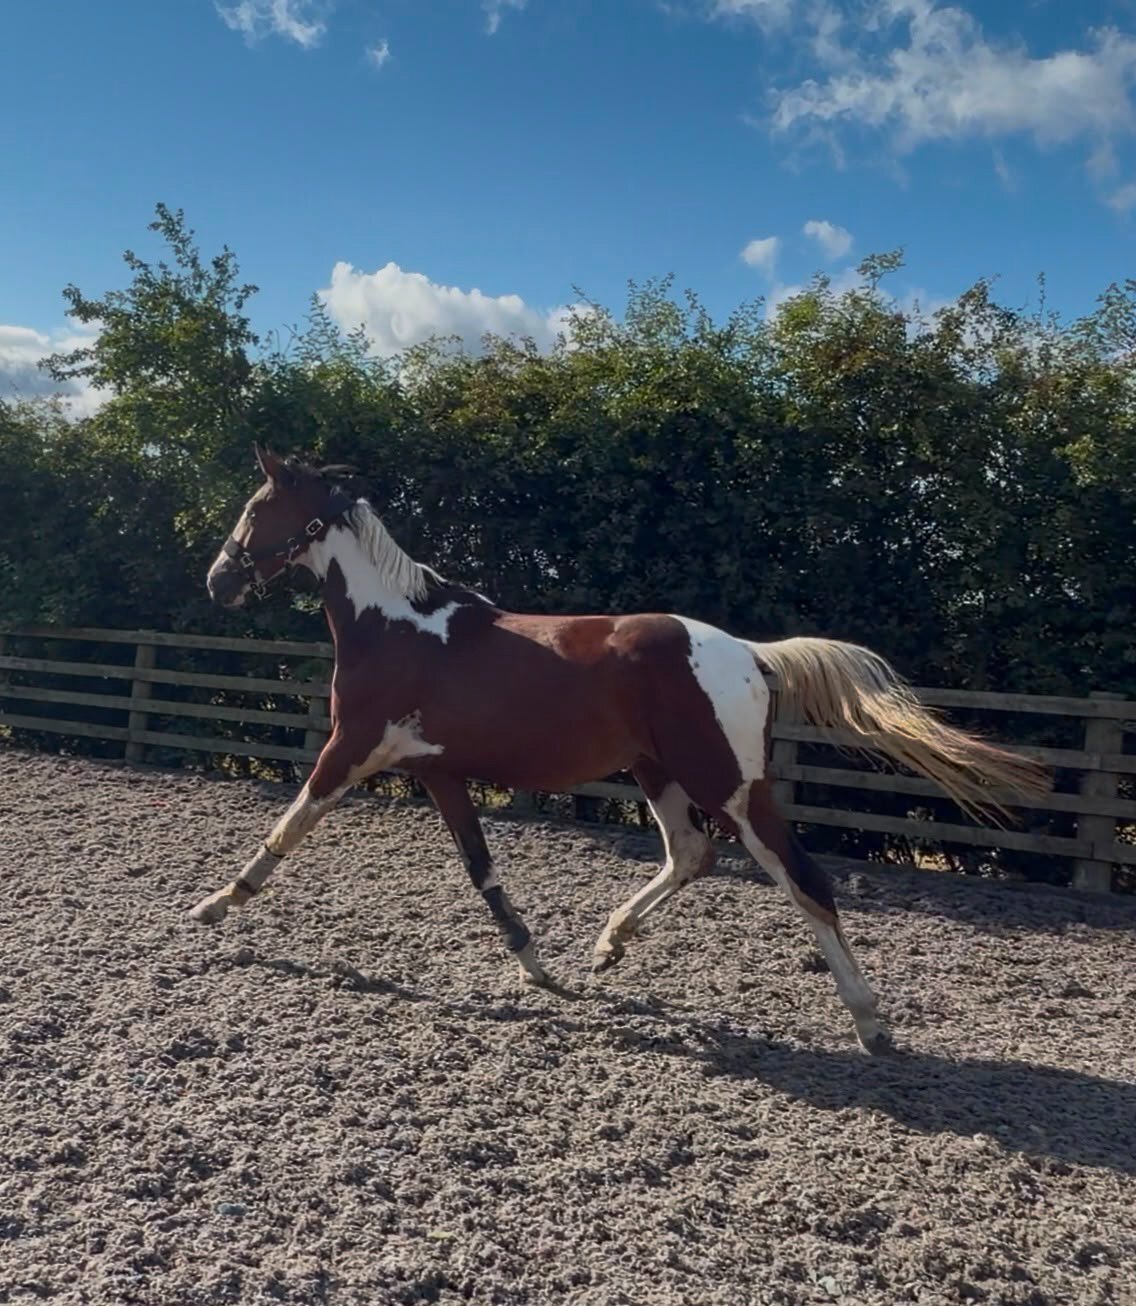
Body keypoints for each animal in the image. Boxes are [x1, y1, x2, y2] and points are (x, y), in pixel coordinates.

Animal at [194, 445, 1049, 1053]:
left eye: (257, 506)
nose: (217, 581)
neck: (399, 627)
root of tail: (751, 652)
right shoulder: (440, 773)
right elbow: (483, 873)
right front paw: (540, 968)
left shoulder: (351, 748)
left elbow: (288, 827)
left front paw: (213, 905)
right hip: (656, 771)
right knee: (691, 854)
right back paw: (609, 944)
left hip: (728, 784)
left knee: (803, 880)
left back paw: (871, 1023)